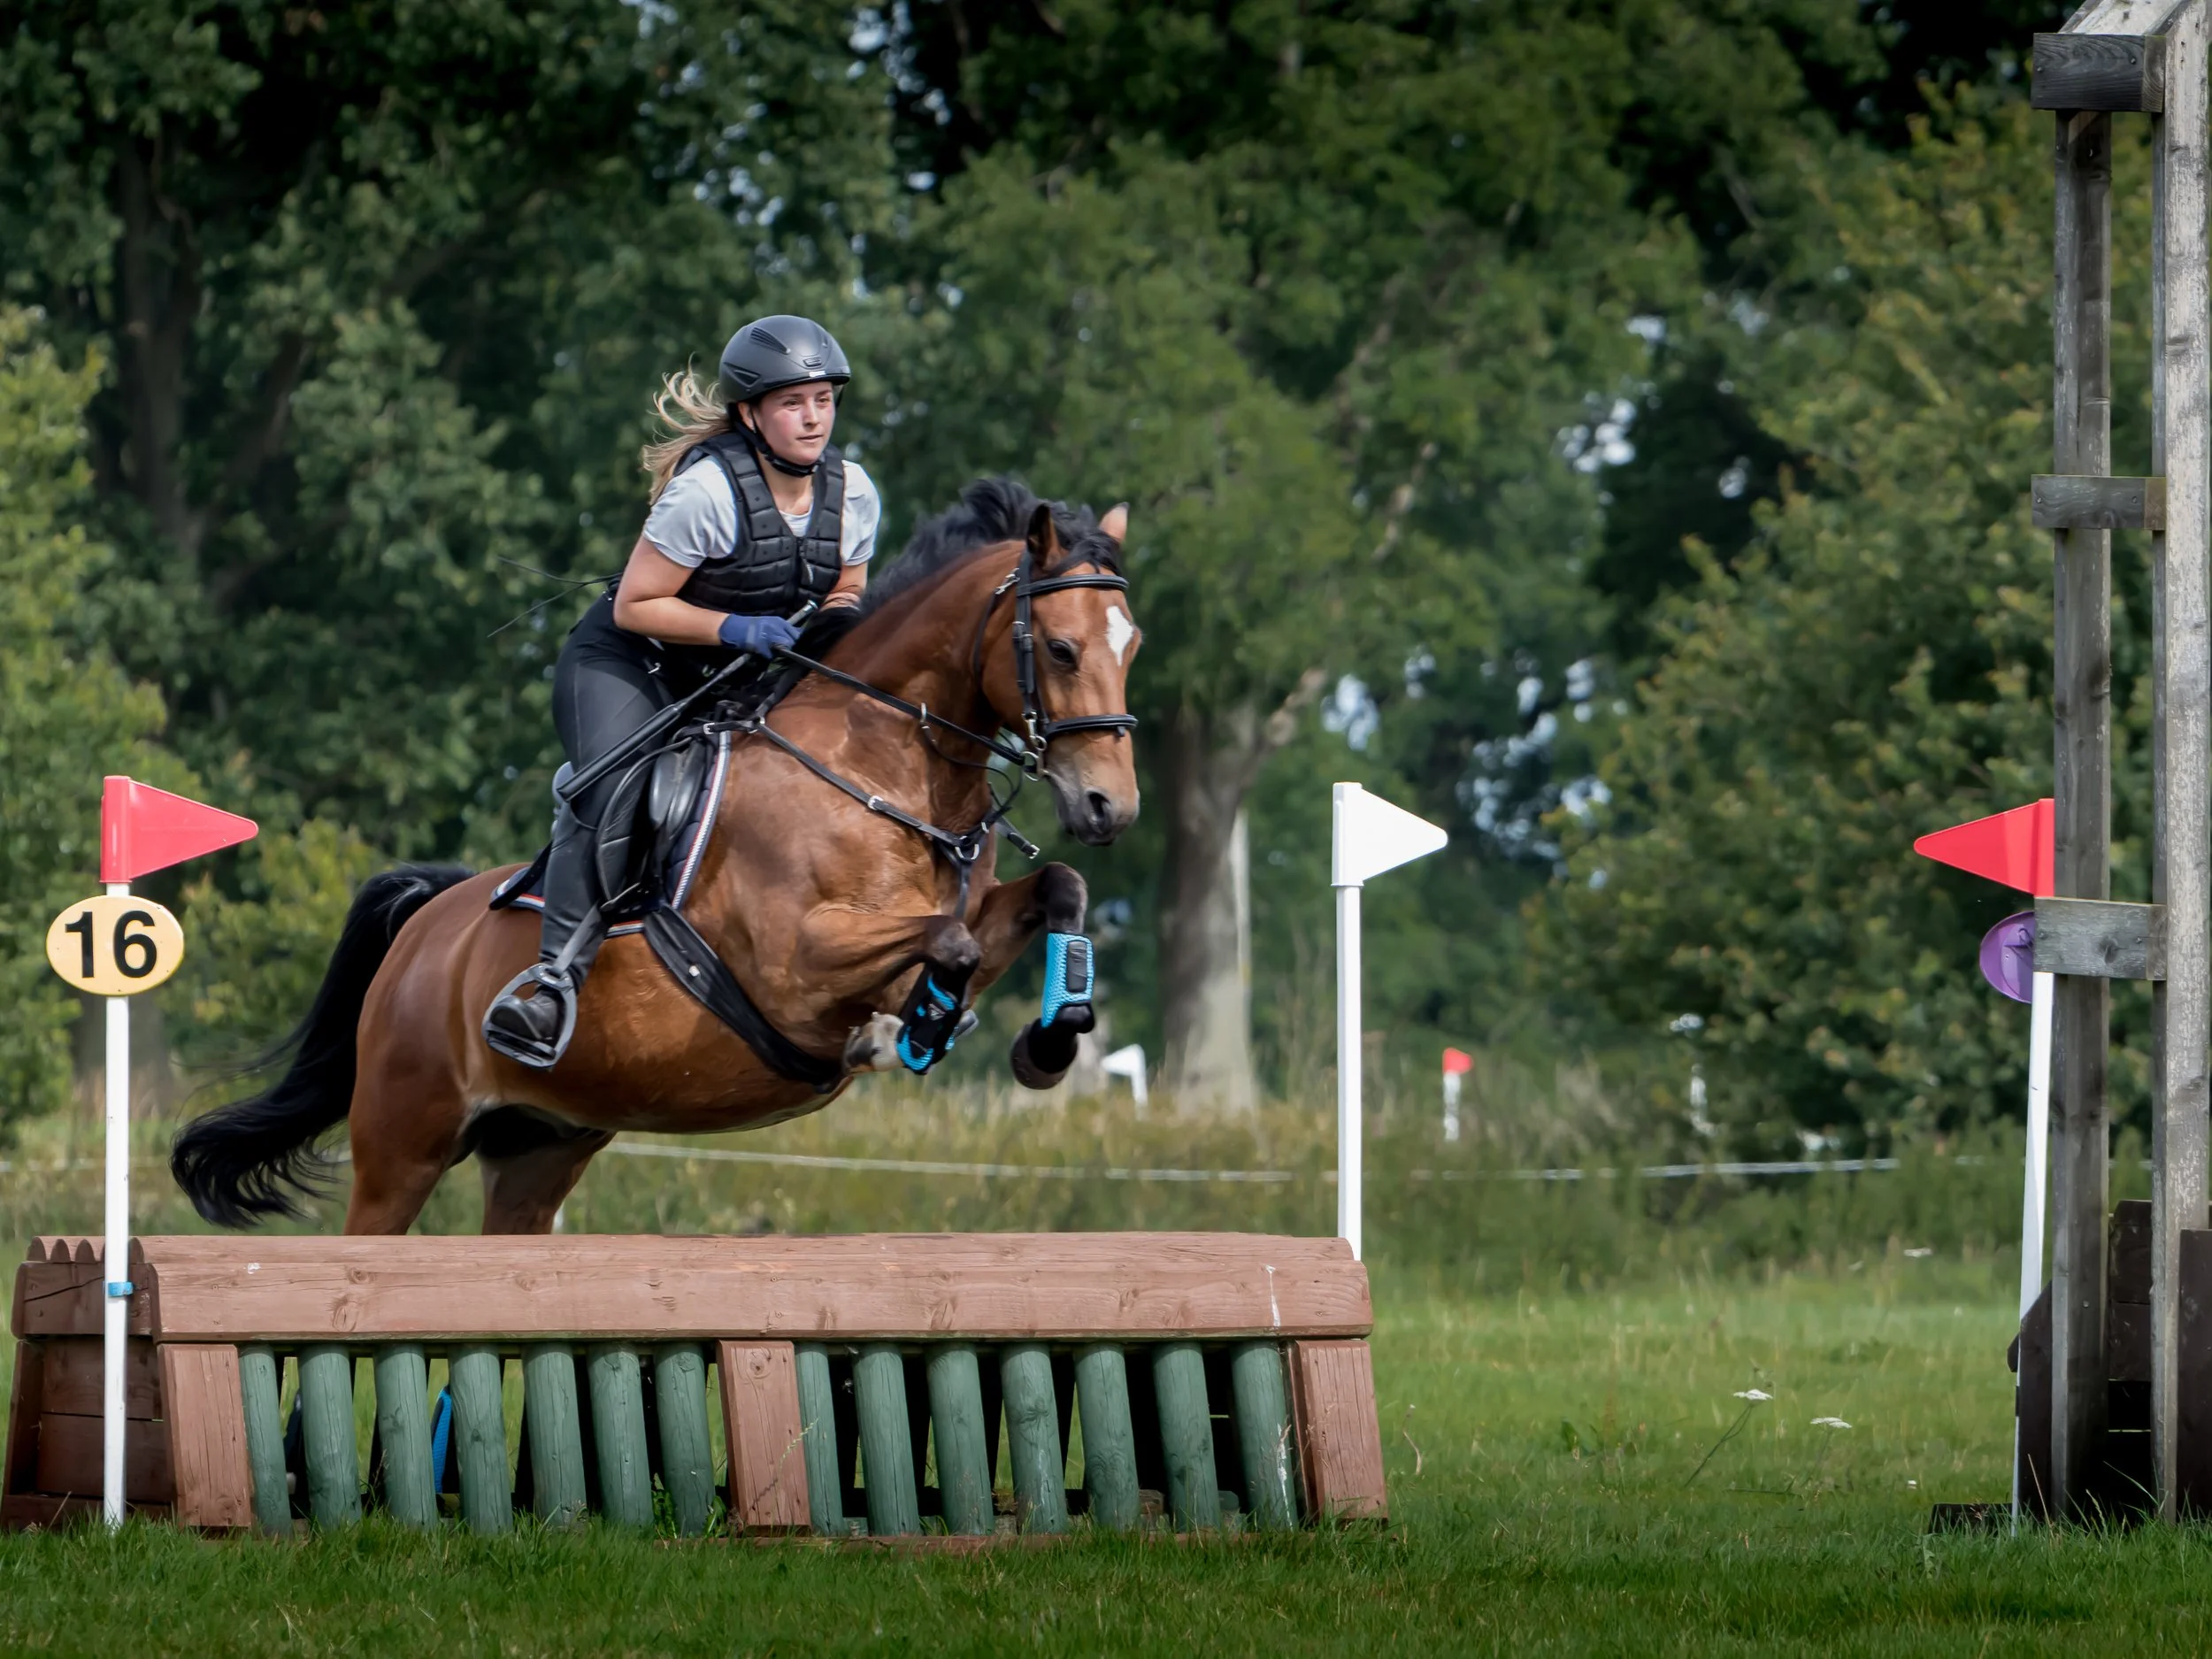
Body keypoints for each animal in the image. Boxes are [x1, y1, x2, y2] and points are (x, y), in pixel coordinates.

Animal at [169, 481, 1142, 1235]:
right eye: (1061, 649)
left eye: (1130, 646)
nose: (1111, 807)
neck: (880, 766)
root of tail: (423, 924)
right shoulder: (796, 967)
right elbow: (946, 943)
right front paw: (907, 1027)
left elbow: (1051, 891)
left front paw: (1047, 1042)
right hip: (402, 1141)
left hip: (538, 1146)